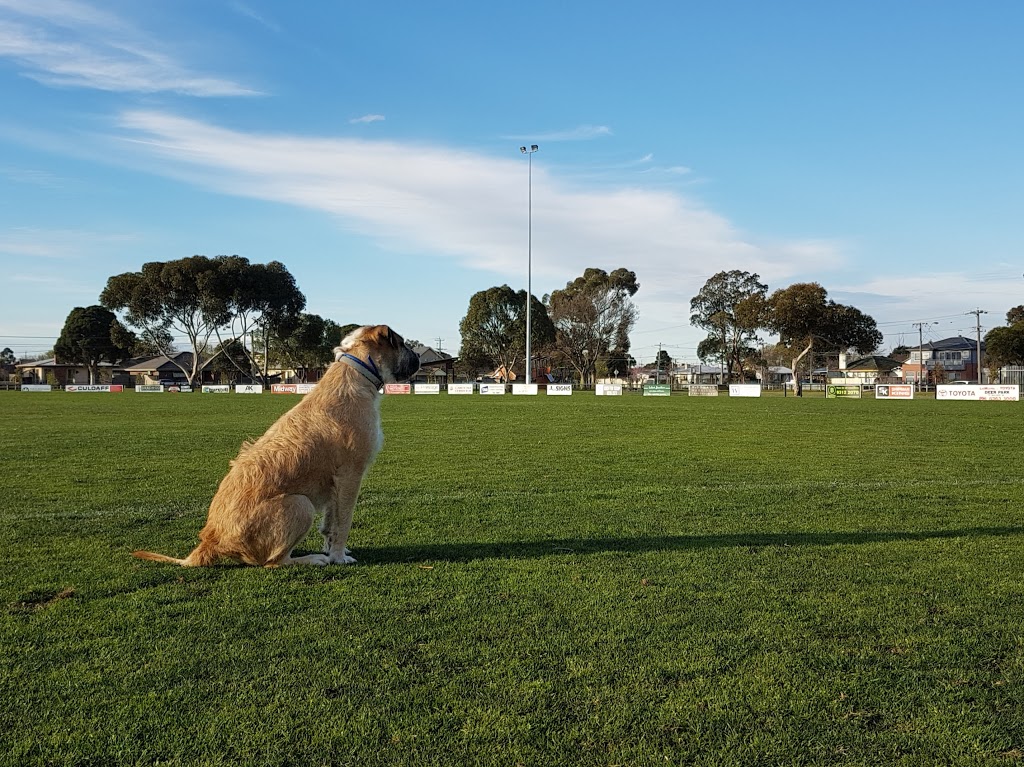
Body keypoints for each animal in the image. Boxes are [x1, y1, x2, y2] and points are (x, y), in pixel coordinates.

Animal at [133, 325, 419, 569]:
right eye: (402, 343)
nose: (417, 355)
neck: (357, 371)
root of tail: (211, 541)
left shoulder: (335, 484)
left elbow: (330, 524)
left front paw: (334, 549)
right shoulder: (351, 475)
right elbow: (343, 523)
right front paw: (338, 556)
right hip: (300, 504)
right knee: (274, 562)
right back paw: (311, 559)